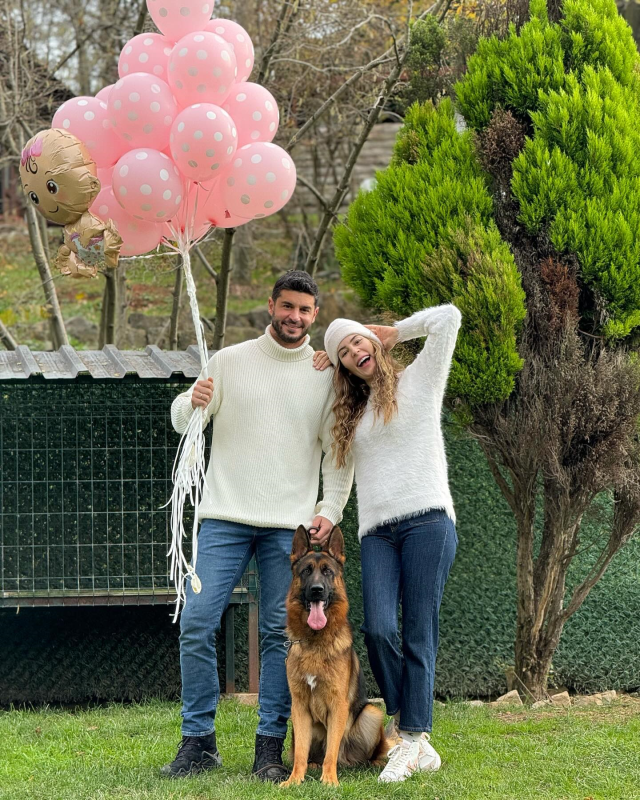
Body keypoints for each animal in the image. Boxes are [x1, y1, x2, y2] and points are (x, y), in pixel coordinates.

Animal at [282, 524, 390, 788]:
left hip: (371, 714)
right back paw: (312, 765)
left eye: (327, 572)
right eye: (306, 571)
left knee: (361, 752)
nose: (317, 590)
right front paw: (295, 779)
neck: (315, 641)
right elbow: (300, 751)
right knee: (309, 753)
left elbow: (331, 749)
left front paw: (329, 780)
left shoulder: (338, 706)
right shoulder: (299, 707)